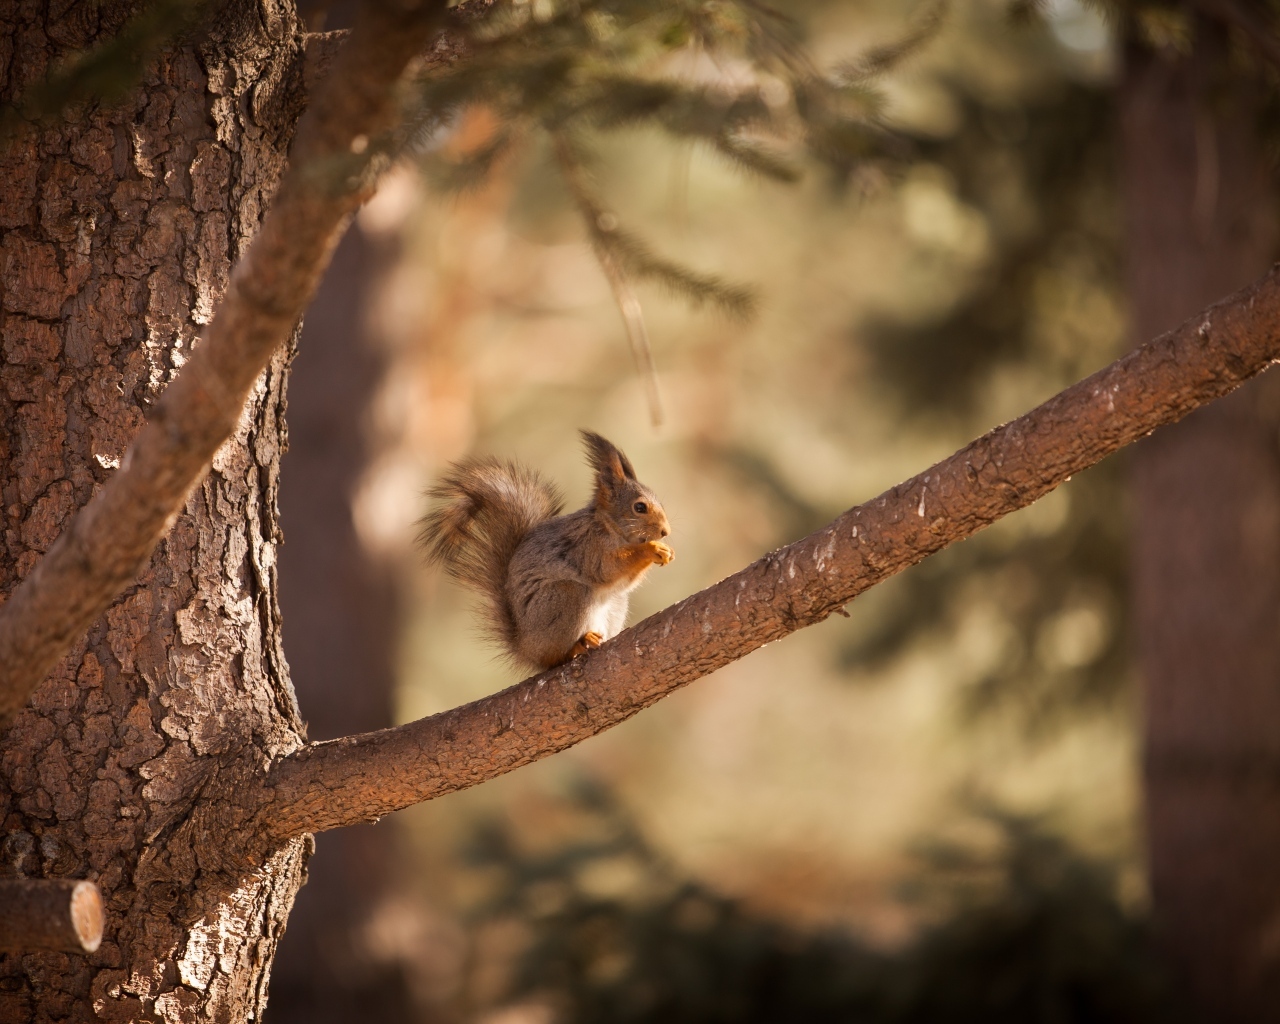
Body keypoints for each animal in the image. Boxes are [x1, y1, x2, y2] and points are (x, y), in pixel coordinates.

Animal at [422, 430, 680, 670]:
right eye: (640, 507)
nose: (665, 531)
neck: (609, 526)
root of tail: (525, 647)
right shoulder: (588, 547)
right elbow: (607, 569)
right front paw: (652, 548)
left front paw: (666, 551)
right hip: (565, 598)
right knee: (553, 657)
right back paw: (576, 646)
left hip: (615, 605)